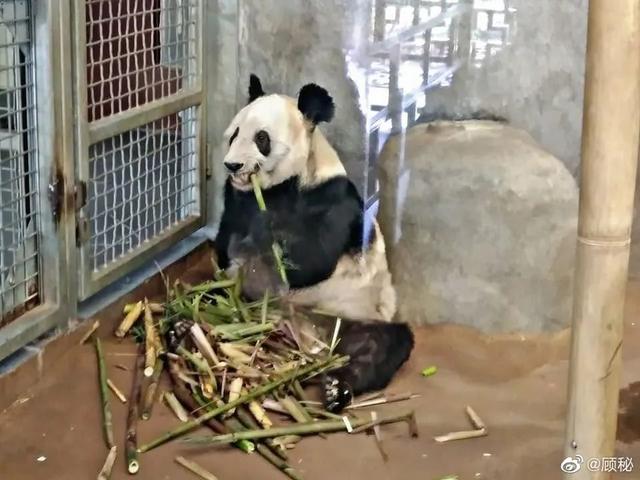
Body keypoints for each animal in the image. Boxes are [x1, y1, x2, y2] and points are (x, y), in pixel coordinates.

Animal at [215, 75, 416, 412]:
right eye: (234, 134)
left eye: (261, 138)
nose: (233, 166)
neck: (282, 185)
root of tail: (309, 340)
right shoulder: (235, 199)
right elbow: (224, 247)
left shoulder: (331, 199)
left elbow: (312, 260)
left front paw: (266, 231)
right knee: (214, 296)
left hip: (354, 310)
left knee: (380, 344)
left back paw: (338, 386)